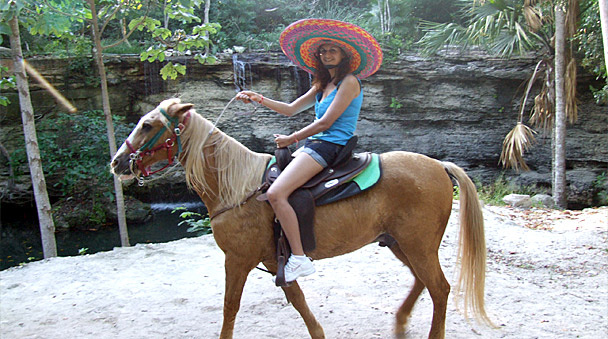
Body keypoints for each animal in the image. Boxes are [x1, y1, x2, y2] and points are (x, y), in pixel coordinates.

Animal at [110, 98, 490, 339]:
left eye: (148, 125)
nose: (117, 162)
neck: (238, 189)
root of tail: (440, 166)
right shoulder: (273, 258)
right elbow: (298, 301)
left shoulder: (237, 260)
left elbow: (230, 308)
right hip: (401, 244)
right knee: (424, 283)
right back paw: (399, 322)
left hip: (418, 245)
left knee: (439, 288)